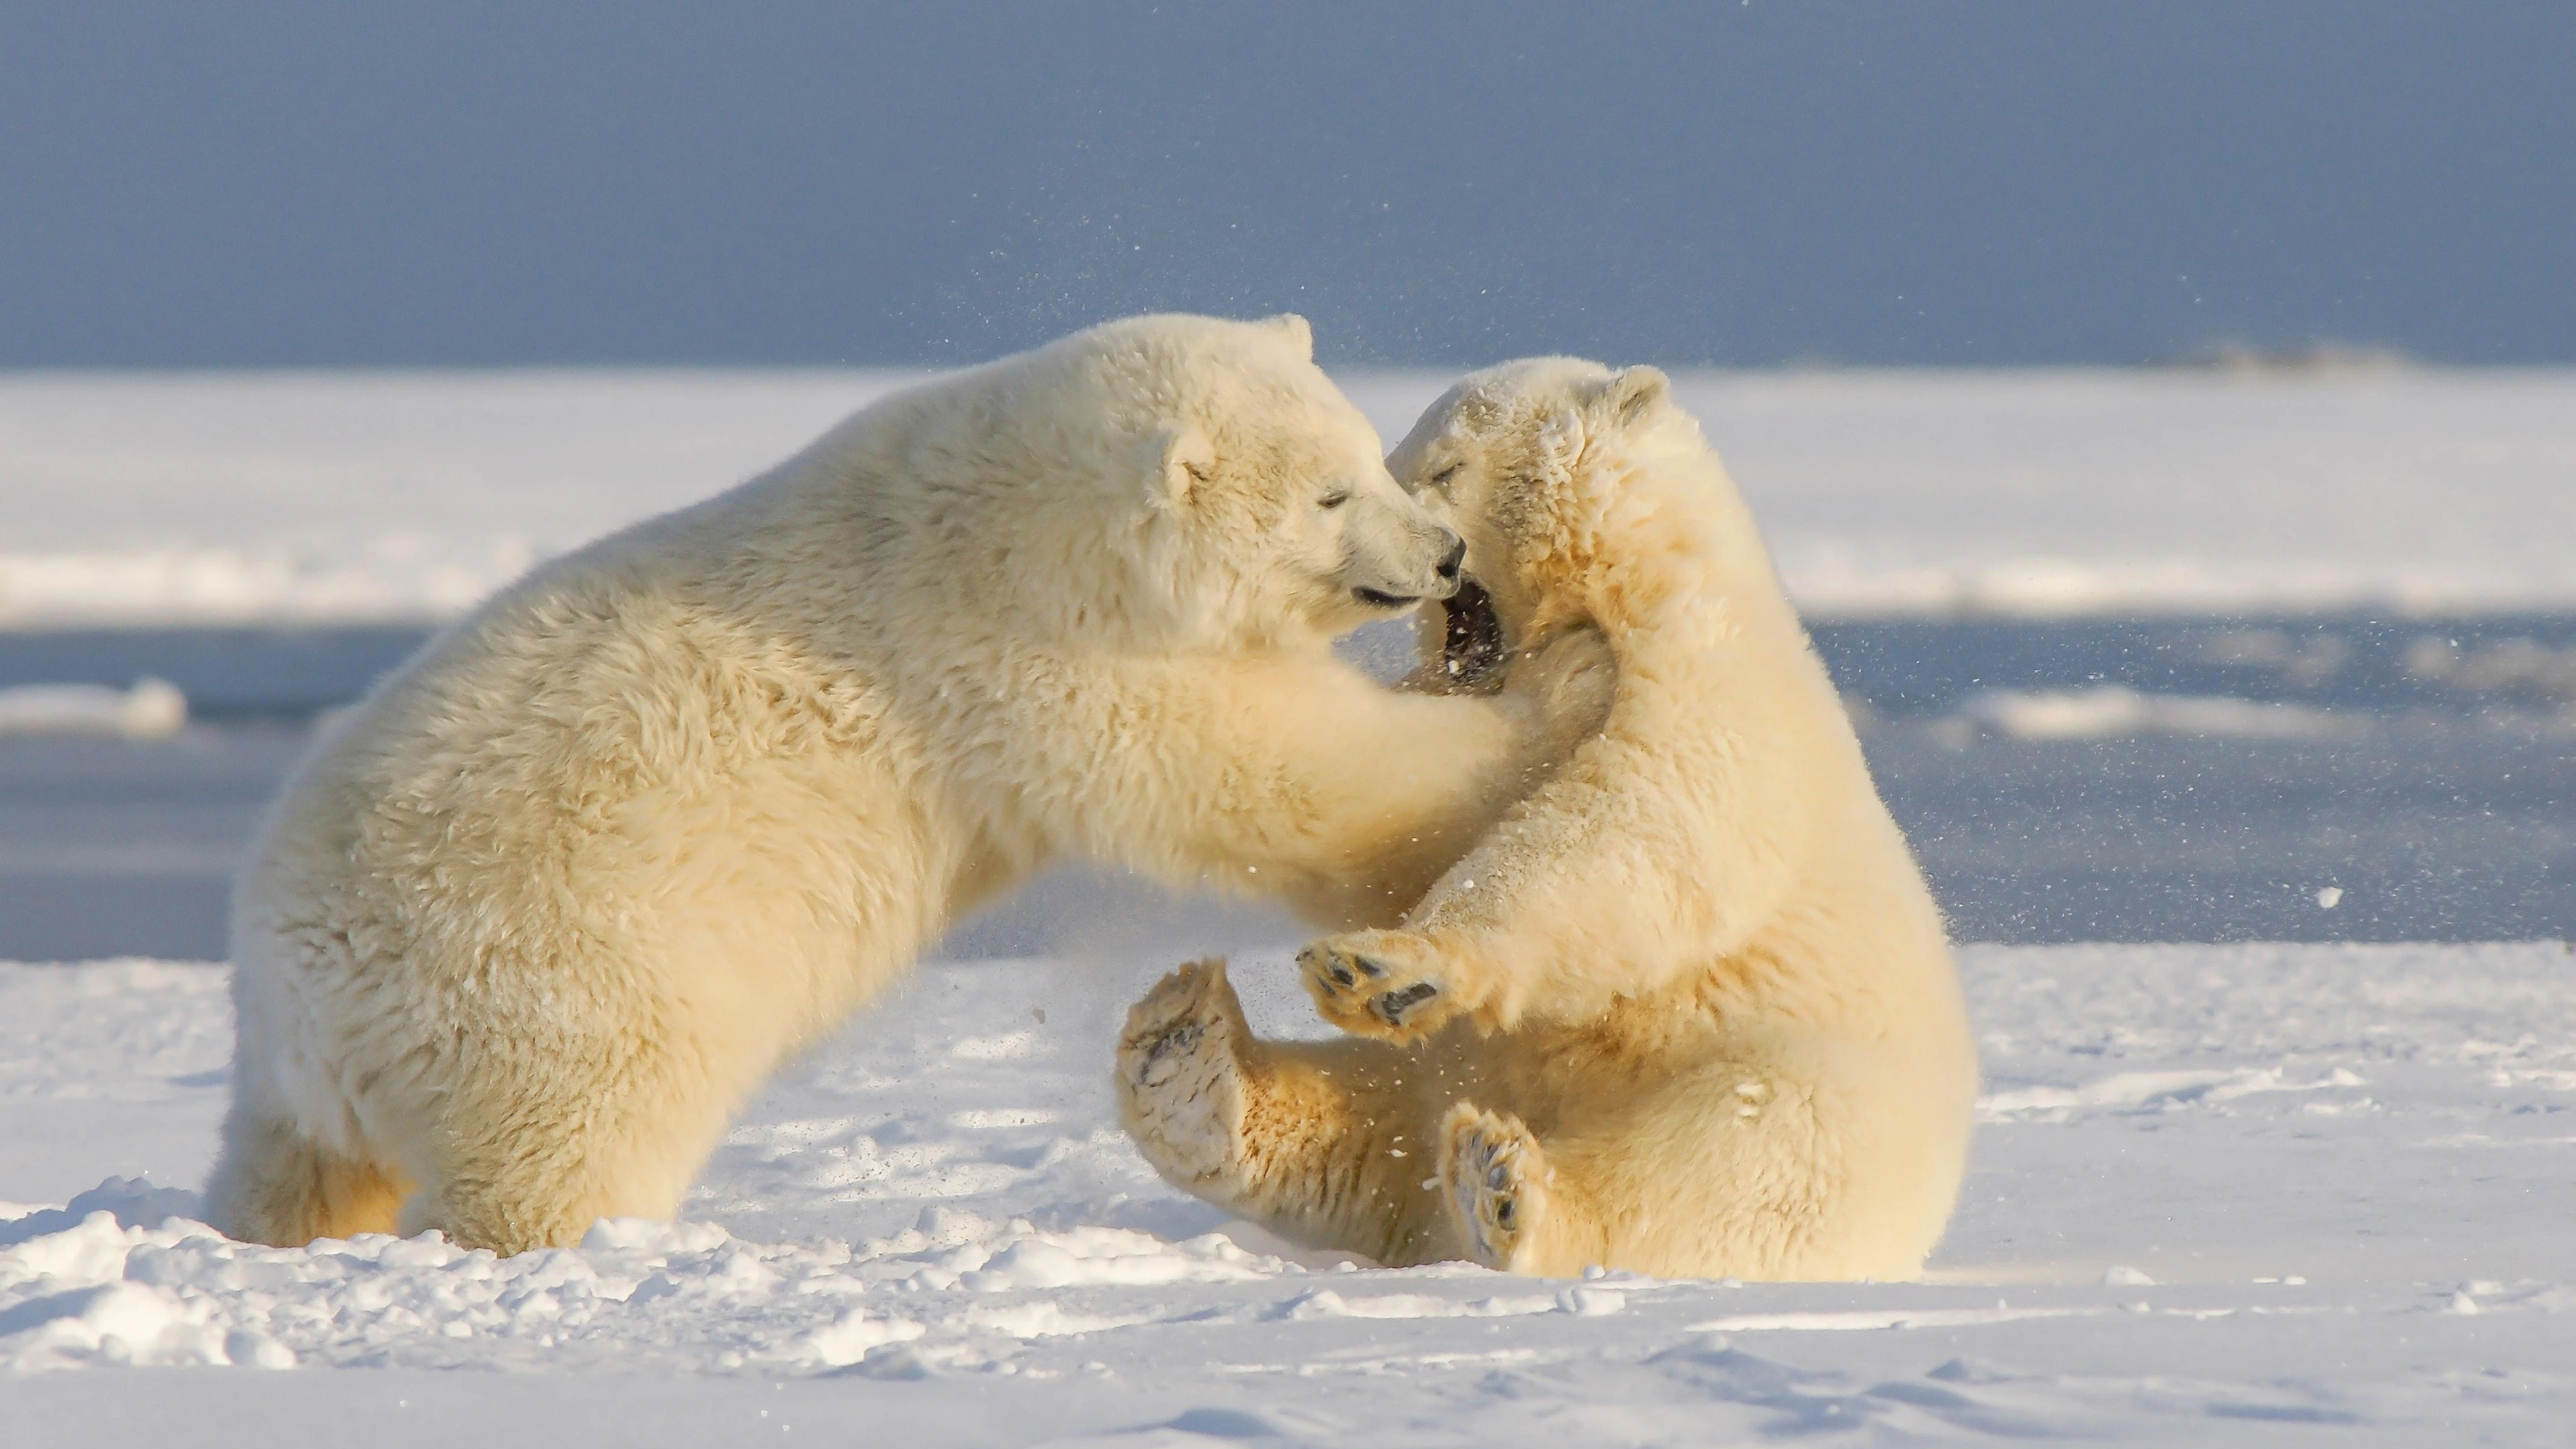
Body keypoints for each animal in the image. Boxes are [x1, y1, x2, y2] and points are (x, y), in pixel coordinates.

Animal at [207, 315, 1616, 1257]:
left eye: (1376, 457)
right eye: (1329, 493)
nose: (1444, 554)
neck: (1014, 521)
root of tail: (299, 985)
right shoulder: (1033, 657)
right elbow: (1291, 773)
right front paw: (1575, 680)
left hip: (324, 1077)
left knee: (296, 1168)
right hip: (563, 984)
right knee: (567, 1150)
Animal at [1115, 358, 1978, 1281]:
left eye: (1443, 468)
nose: (1425, 554)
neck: (1632, 585)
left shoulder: (1710, 684)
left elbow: (1633, 826)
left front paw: (1386, 965)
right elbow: (1404, 819)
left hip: (1793, 1084)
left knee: (1729, 1163)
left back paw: (1502, 1191)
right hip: (1451, 1070)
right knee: (1373, 1125)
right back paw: (1188, 1058)